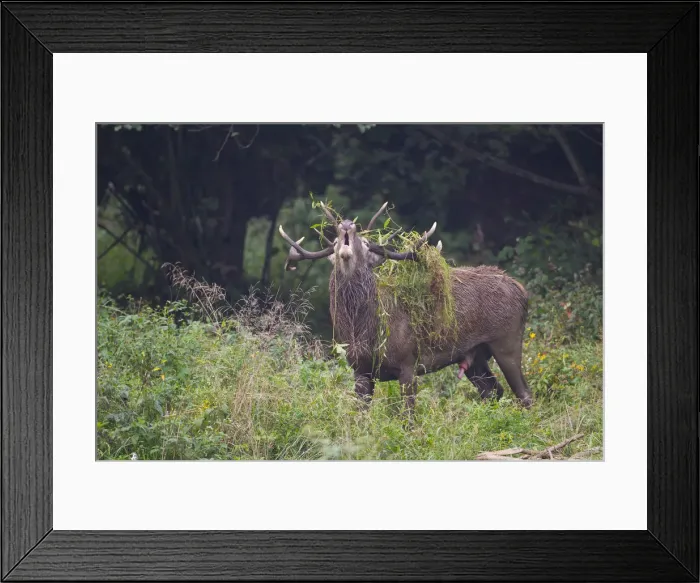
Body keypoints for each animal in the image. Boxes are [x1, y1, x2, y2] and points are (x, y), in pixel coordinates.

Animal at [278, 201, 533, 418]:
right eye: (335, 243)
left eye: (366, 245)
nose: (347, 224)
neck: (363, 332)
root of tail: (522, 290)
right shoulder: (359, 369)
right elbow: (360, 416)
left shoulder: (408, 363)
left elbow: (408, 418)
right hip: (475, 356)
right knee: (493, 391)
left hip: (507, 341)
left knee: (524, 394)